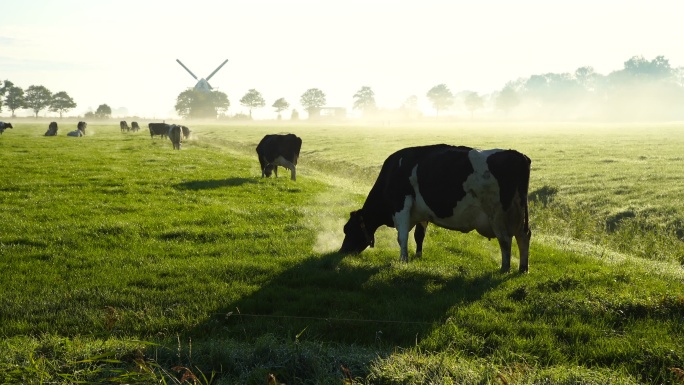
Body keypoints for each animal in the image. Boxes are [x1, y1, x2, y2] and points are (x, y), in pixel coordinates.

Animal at [340, 144, 532, 272]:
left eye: (348, 229)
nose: (342, 251)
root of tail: (518, 155)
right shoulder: (421, 213)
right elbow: (419, 235)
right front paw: (418, 256)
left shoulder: (401, 204)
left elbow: (402, 237)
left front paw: (403, 260)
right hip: (519, 213)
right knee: (523, 236)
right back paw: (523, 268)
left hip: (498, 214)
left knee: (505, 240)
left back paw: (505, 268)